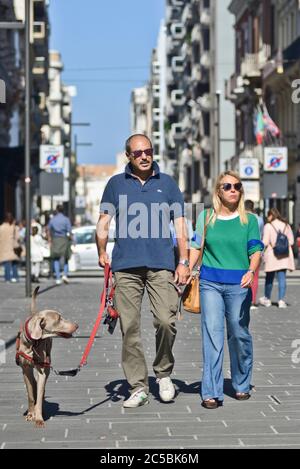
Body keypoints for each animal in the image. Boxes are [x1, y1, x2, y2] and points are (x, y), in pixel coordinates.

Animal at [15, 286, 78, 428]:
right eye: (59, 319)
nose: (76, 325)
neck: (33, 342)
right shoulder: (25, 369)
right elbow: (31, 395)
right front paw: (31, 414)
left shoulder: (42, 369)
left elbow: (39, 395)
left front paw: (38, 418)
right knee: (33, 385)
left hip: (48, 363)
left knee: (41, 388)